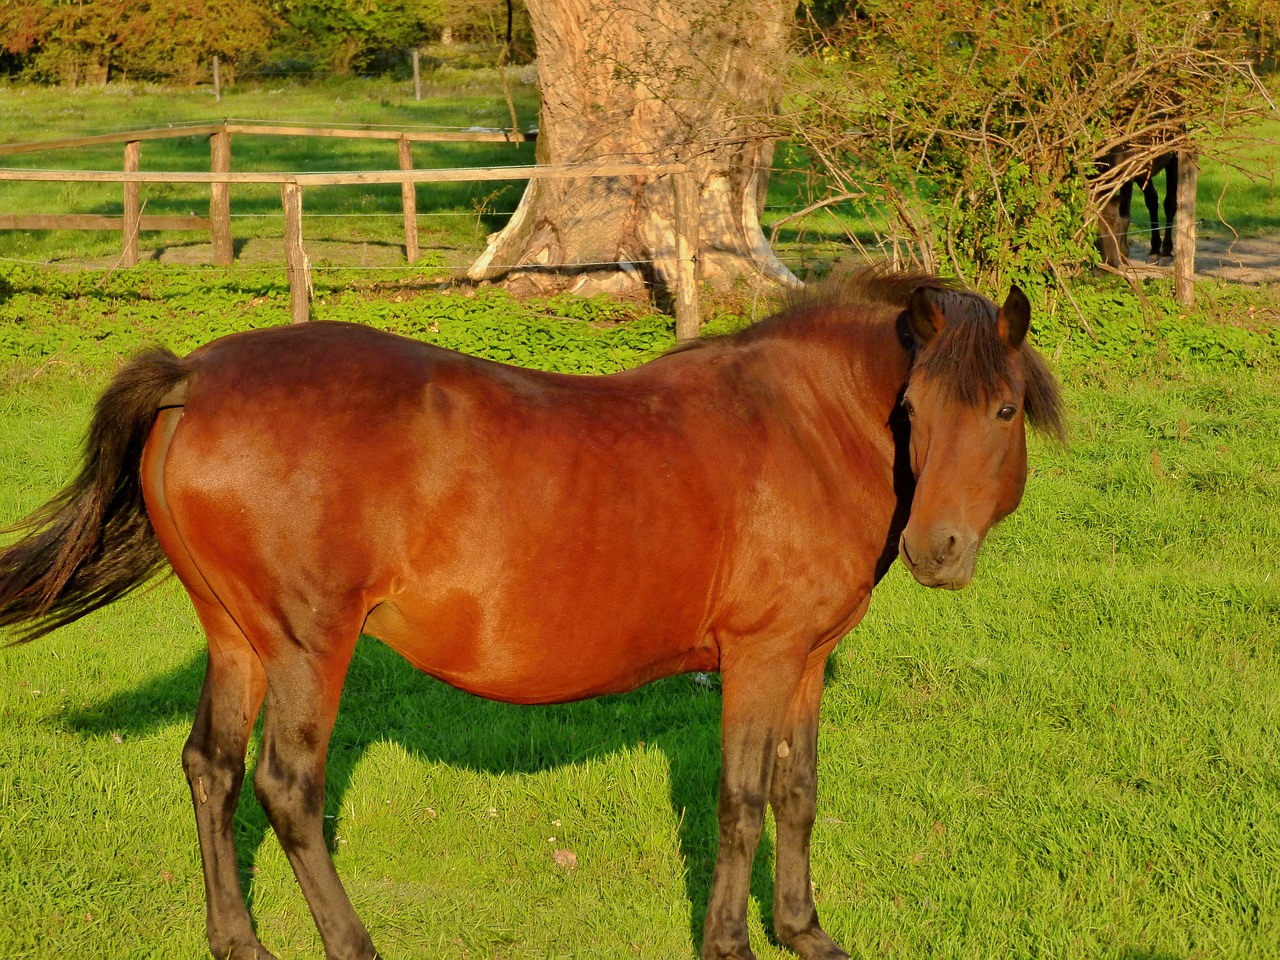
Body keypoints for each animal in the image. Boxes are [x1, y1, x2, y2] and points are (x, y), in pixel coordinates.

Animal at [0, 268, 1059, 960]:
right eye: (914, 410)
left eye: (1002, 411)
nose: (937, 551)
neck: (802, 425)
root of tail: (195, 373)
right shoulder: (759, 660)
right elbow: (743, 801)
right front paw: (731, 943)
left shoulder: (803, 660)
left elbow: (797, 795)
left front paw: (804, 932)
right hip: (309, 647)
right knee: (287, 788)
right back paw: (354, 944)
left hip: (238, 642)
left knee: (210, 771)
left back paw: (240, 943)